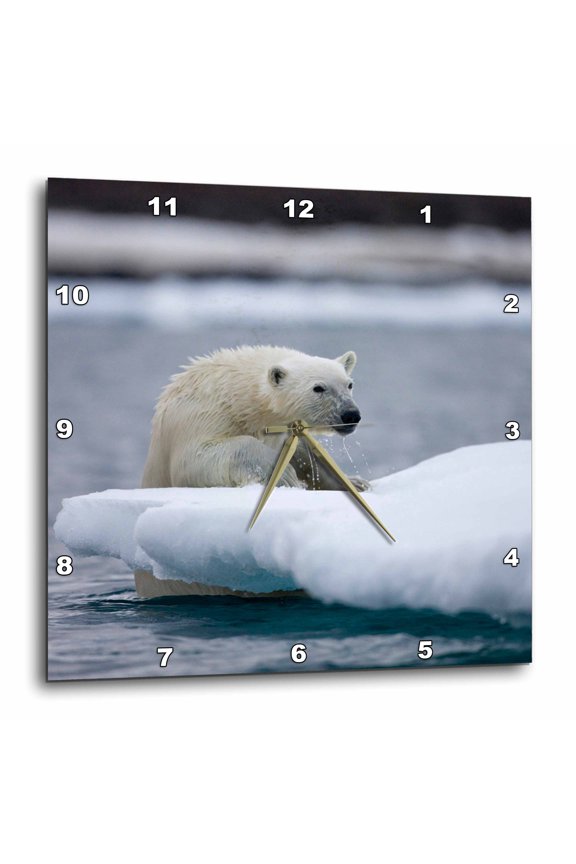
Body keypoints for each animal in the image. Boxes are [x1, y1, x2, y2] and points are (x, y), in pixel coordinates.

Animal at [135, 345, 368, 598]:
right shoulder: (199, 416)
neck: (237, 394)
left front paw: (355, 483)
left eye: (349, 384)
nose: (351, 415)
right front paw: (285, 476)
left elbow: (304, 452)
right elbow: (197, 460)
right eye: (319, 388)